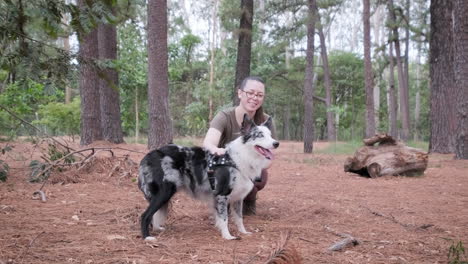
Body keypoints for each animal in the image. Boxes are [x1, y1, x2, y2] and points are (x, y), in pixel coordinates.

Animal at [137, 114, 280, 240]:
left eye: (270, 135)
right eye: (259, 135)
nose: (276, 143)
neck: (238, 158)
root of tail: (150, 155)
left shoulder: (238, 198)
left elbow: (239, 218)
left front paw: (243, 232)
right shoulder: (222, 194)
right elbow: (224, 218)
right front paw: (228, 236)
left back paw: (157, 229)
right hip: (164, 192)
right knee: (145, 215)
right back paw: (147, 237)